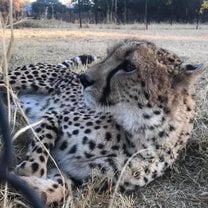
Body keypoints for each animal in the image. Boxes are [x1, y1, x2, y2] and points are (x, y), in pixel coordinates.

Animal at [0, 39, 205, 206]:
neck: (140, 134)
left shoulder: (81, 176)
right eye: (108, 55)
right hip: (12, 81)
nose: (82, 78)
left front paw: (33, 186)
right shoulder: (54, 115)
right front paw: (25, 173)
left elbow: (61, 189)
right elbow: (39, 152)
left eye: (129, 66)